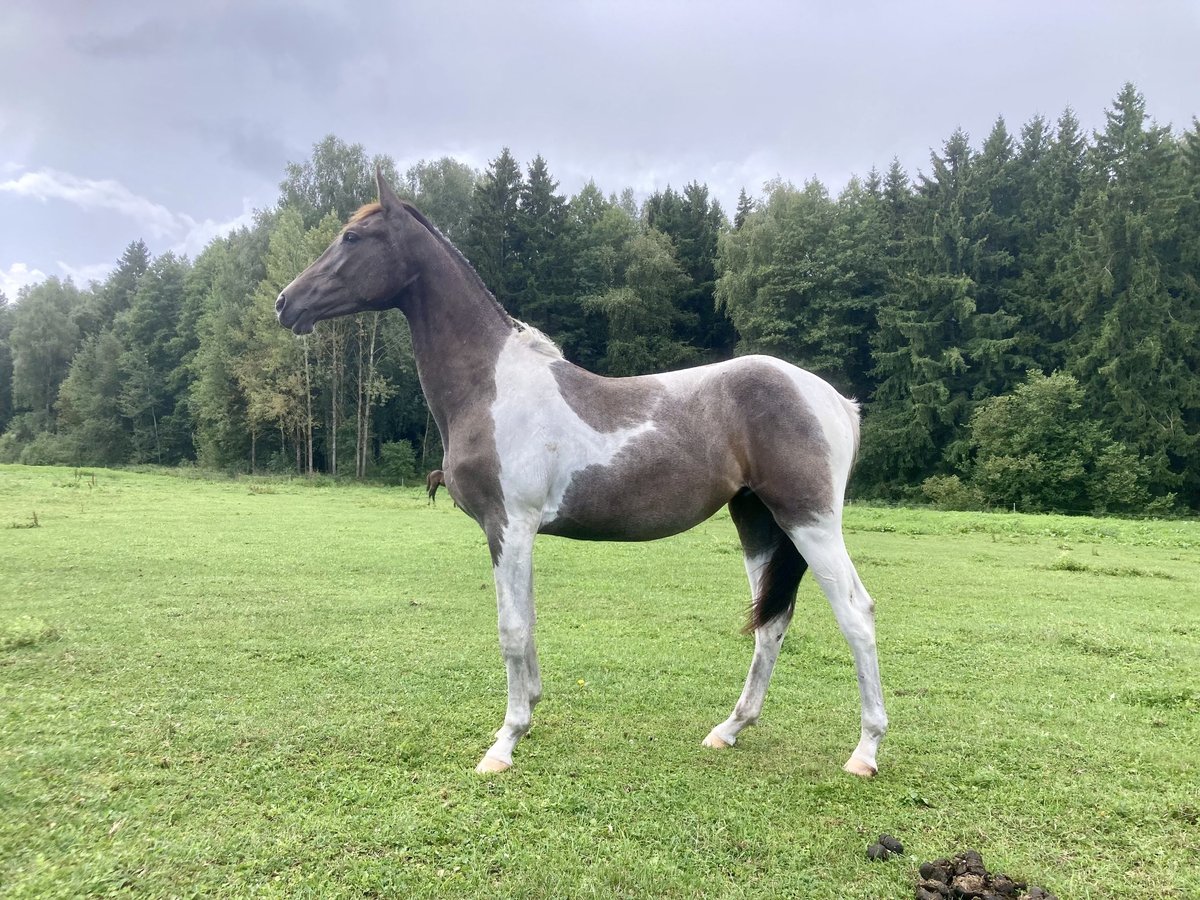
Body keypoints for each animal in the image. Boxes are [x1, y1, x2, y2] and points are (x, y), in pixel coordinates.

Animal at [276, 172, 888, 777]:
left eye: (353, 238)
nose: (285, 303)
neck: (492, 386)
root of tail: (838, 401)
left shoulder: (508, 526)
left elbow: (511, 629)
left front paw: (504, 743)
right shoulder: (517, 533)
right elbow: (528, 624)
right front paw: (526, 717)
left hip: (808, 521)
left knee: (856, 613)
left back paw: (865, 751)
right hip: (758, 523)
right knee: (771, 622)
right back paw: (729, 730)